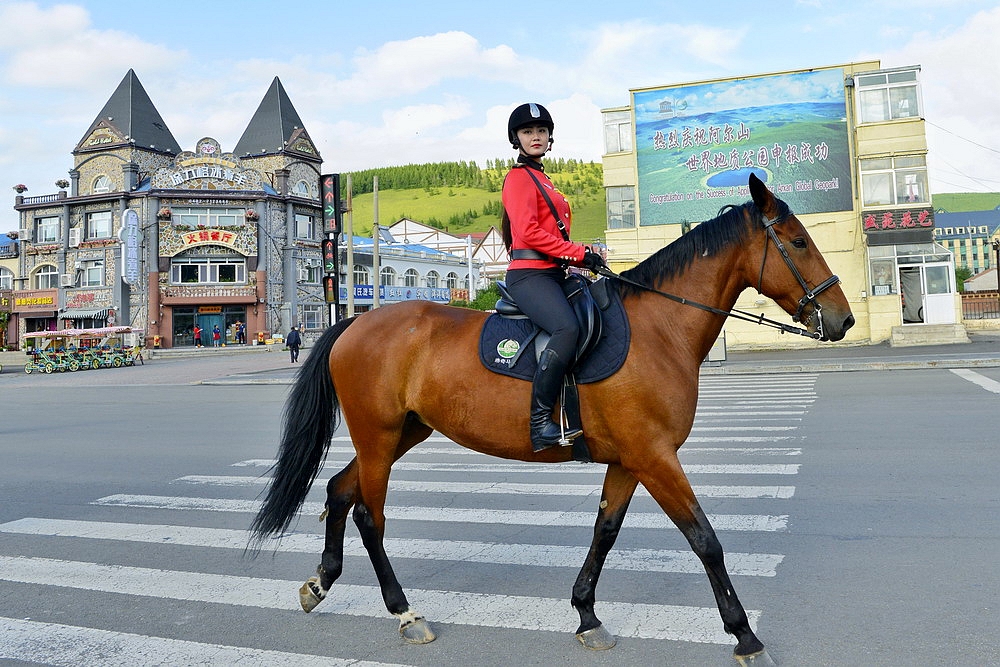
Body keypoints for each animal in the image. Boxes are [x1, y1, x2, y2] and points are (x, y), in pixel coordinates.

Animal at [248, 175, 852, 664]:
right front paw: (744, 635)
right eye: (799, 241)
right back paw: (404, 612)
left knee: (339, 490)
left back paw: (320, 583)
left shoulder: (631, 459)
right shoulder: (656, 457)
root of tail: (354, 323)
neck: (660, 328)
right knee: (369, 517)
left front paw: (586, 614)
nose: (842, 319)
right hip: (378, 437)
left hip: (400, 434)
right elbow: (705, 540)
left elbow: (605, 531)